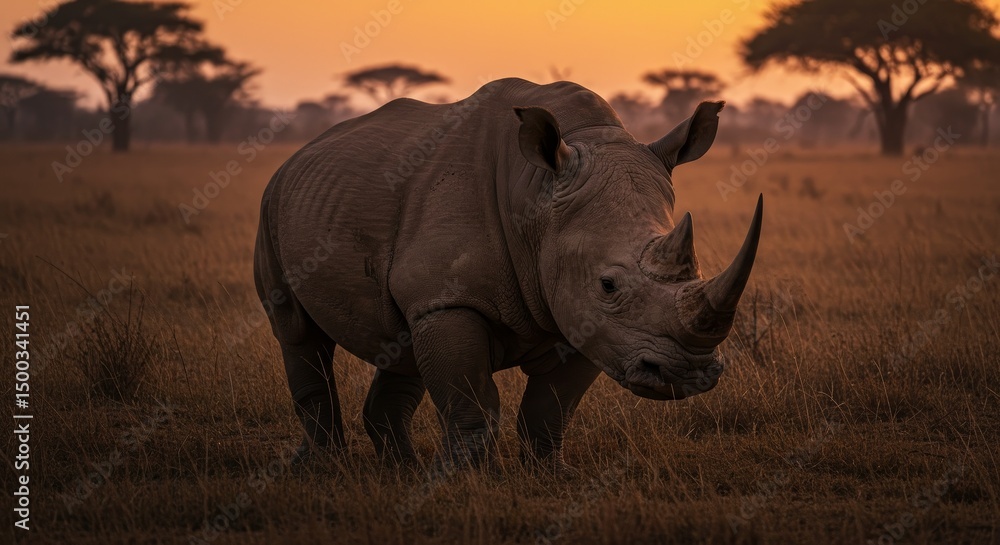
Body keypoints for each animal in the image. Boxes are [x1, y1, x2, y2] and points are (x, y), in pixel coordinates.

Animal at [253, 78, 763, 470]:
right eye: (608, 284)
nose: (687, 374)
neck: (536, 197)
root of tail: (300, 153)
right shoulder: (453, 301)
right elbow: (471, 404)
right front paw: (457, 483)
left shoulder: (583, 316)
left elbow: (548, 410)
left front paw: (550, 475)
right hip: (272, 203)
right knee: (297, 331)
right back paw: (325, 469)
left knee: (399, 340)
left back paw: (400, 471)